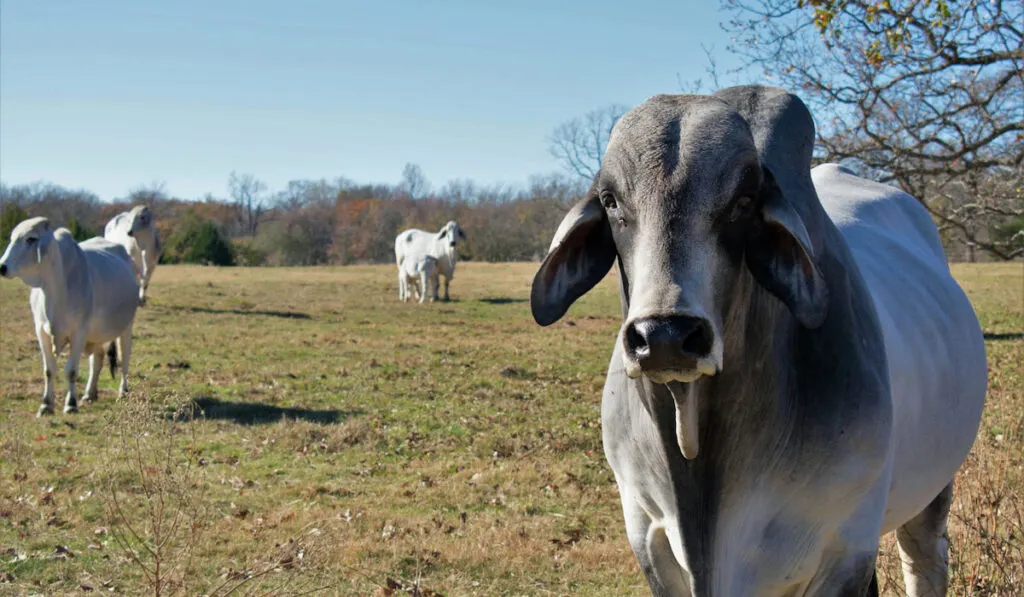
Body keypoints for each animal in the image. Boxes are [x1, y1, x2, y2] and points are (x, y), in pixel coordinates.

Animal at [0, 217, 140, 417]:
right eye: (12, 238)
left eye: (31, 239)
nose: (2, 267)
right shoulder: (40, 331)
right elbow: (49, 370)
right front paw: (46, 405)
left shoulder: (79, 332)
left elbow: (71, 371)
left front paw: (71, 404)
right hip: (95, 334)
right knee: (97, 358)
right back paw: (89, 394)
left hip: (126, 326)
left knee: (124, 357)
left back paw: (123, 392)